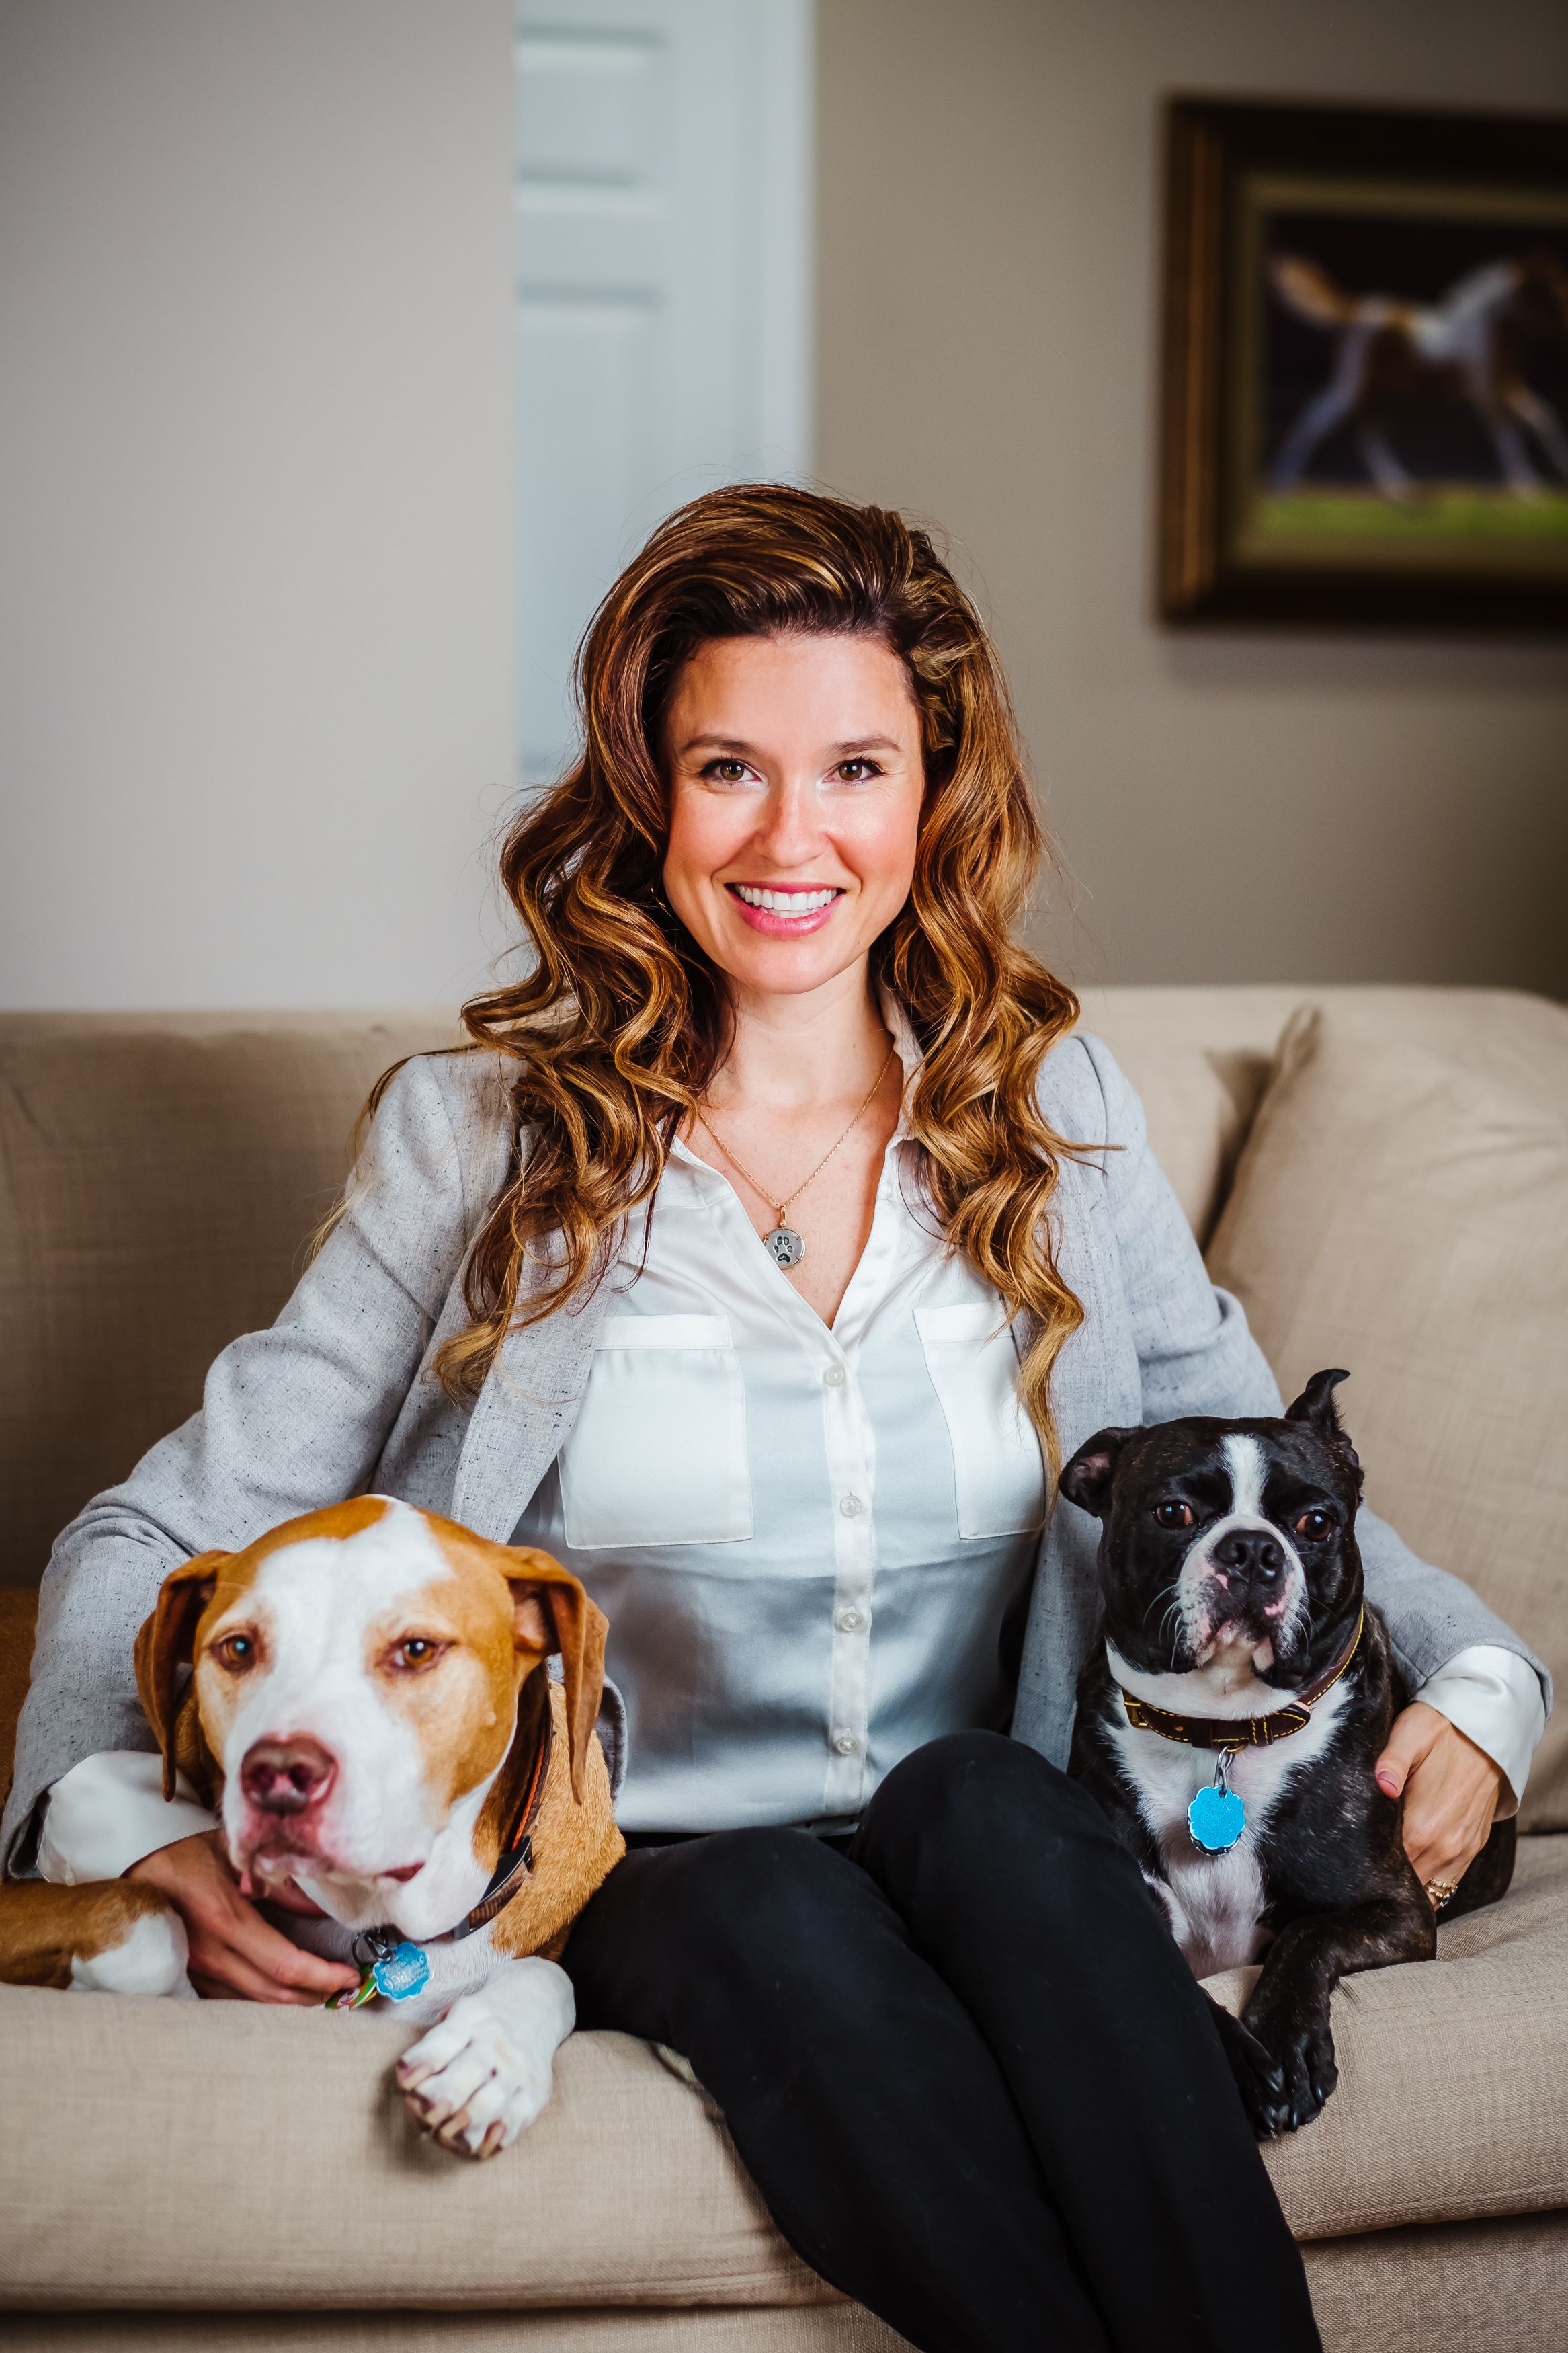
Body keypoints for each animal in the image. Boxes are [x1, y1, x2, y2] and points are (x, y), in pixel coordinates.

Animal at [0, 1506, 625, 2155]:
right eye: (238, 1648)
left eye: (417, 1650)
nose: (279, 1773)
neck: (376, 1918)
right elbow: (143, 1917)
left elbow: (551, 1976)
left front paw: (490, 2058)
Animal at [1062, 1374, 1514, 2146]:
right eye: (1173, 1512)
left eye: (1315, 1523)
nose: (1249, 1549)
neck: (1220, 1731)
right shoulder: (1127, 1903)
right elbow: (1172, 1986)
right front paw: (1240, 2064)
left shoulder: (1396, 1911)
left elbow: (1307, 1933)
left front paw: (1285, 2043)